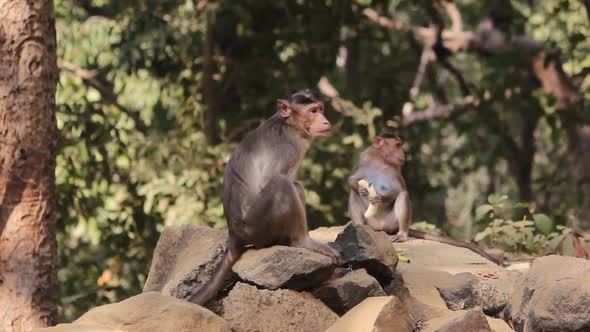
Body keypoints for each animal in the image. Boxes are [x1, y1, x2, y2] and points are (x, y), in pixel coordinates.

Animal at [191, 89, 342, 304]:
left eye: (320, 109)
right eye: (313, 111)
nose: (325, 120)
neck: (289, 125)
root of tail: (233, 235)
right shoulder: (287, 148)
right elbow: (272, 179)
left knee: (294, 186)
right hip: (257, 227)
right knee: (284, 184)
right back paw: (302, 241)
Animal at [352, 133, 504, 264]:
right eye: (397, 145)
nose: (403, 153)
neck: (380, 159)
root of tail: (379, 228)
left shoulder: (395, 170)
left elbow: (399, 190)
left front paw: (380, 198)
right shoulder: (365, 157)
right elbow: (353, 179)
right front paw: (361, 189)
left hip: (390, 223)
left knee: (403, 195)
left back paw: (402, 234)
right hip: (371, 223)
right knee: (354, 194)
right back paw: (359, 226)